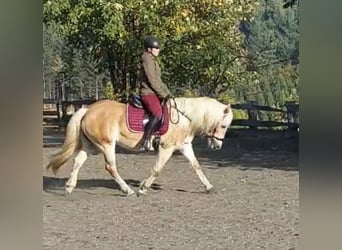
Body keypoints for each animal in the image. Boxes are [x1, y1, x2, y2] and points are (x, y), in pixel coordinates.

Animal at [45, 95, 234, 195]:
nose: (217, 146)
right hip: (107, 145)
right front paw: (143, 188)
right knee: (110, 167)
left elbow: (196, 166)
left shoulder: (185, 146)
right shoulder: (166, 148)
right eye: (224, 125)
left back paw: (69, 187)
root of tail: (88, 110)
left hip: (90, 146)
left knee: (78, 161)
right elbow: (157, 169)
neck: (183, 117)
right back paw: (126, 190)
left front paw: (208, 186)